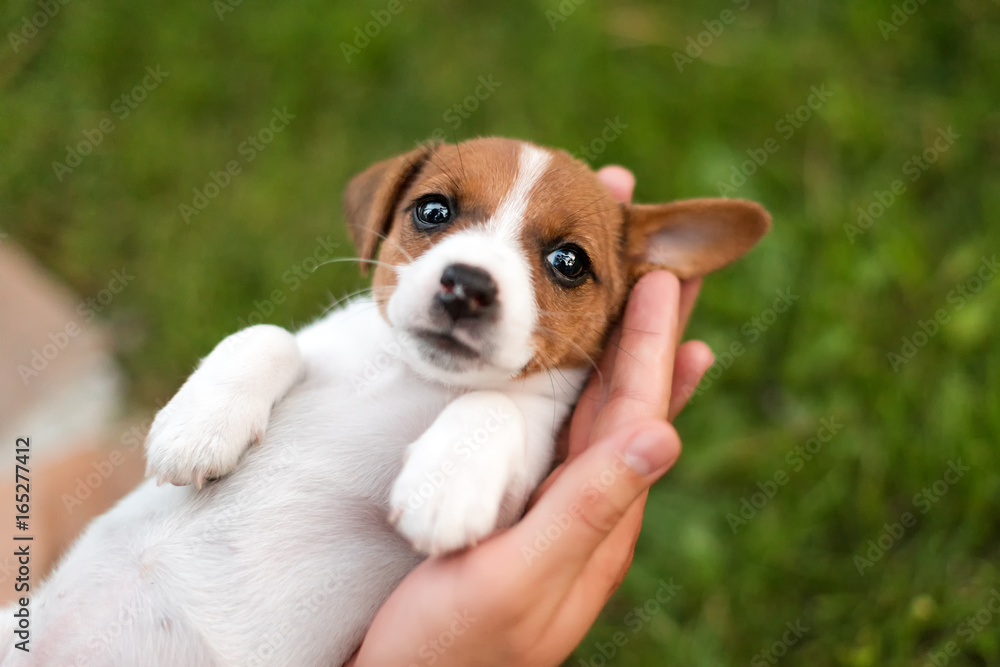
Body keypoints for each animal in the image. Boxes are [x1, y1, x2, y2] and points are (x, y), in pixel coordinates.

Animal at [7, 138, 768, 664]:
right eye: (432, 210)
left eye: (568, 262)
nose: (467, 284)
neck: (416, 376)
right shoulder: (320, 345)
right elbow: (269, 335)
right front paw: (199, 424)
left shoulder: (528, 480)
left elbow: (497, 407)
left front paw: (445, 483)